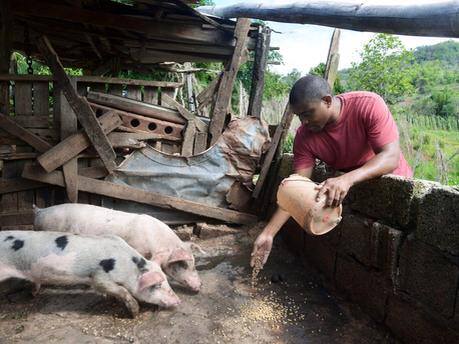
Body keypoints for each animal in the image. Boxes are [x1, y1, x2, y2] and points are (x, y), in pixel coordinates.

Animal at [0, 230, 181, 316]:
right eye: (157, 285)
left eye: (167, 282)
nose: (178, 301)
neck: (126, 265)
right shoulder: (99, 277)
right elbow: (119, 289)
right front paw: (134, 311)